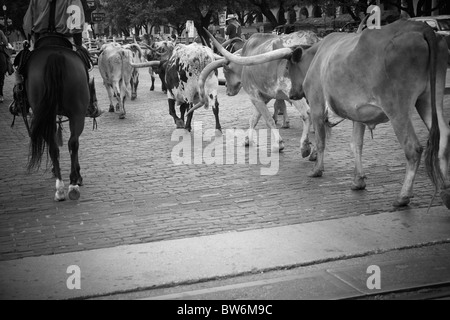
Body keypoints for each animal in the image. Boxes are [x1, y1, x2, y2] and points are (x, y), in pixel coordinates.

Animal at [26, 39, 92, 200]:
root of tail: (55, 55)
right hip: (76, 112)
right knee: (71, 143)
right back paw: (70, 185)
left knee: (57, 146)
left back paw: (64, 186)